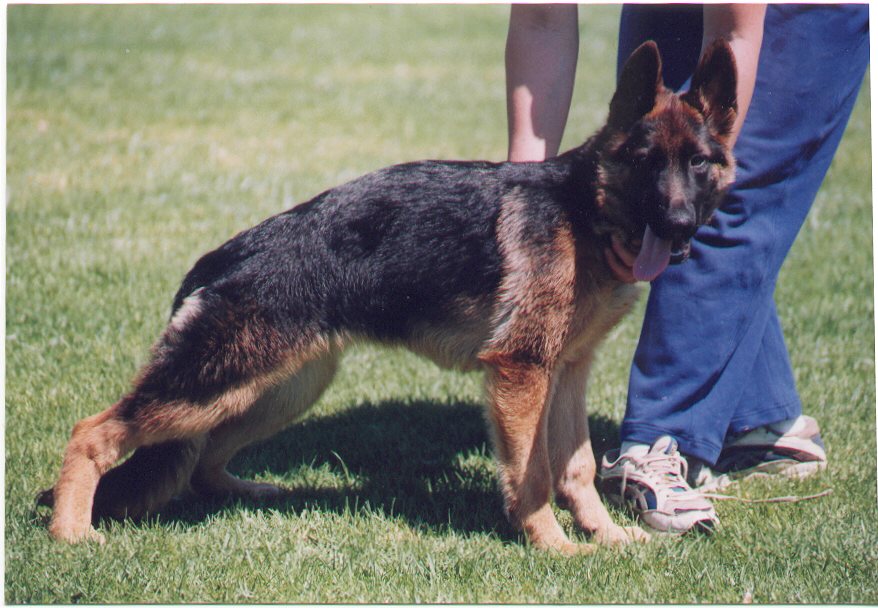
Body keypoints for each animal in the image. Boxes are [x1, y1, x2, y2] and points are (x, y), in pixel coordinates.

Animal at [42, 40, 737, 554]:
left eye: (698, 163)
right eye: (647, 161)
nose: (679, 224)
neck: (584, 212)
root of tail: (222, 257)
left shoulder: (565, 373)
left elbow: (577, 468)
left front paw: (607, 537)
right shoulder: (520, 376)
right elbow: (534, 476)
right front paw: (555, 548)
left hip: (280, 388)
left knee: (204, 459)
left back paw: (247, 493)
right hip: (212, 387)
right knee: (93, 432)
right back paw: (71, 533)